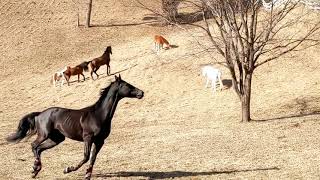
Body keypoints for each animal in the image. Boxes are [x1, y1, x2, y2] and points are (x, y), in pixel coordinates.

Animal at [5, 75, 144, 180]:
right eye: (128, 85)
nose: (141, 93)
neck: (99, 115)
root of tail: (39, 114)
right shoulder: (88, 138)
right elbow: (86, 156)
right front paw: (67, 169)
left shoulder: (100, 141)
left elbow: (93, 158)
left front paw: (87, 175)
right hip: (44, 134)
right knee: (34, 145)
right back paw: (34, 168)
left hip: (56, 139)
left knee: (39, 149)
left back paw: (36, 170)